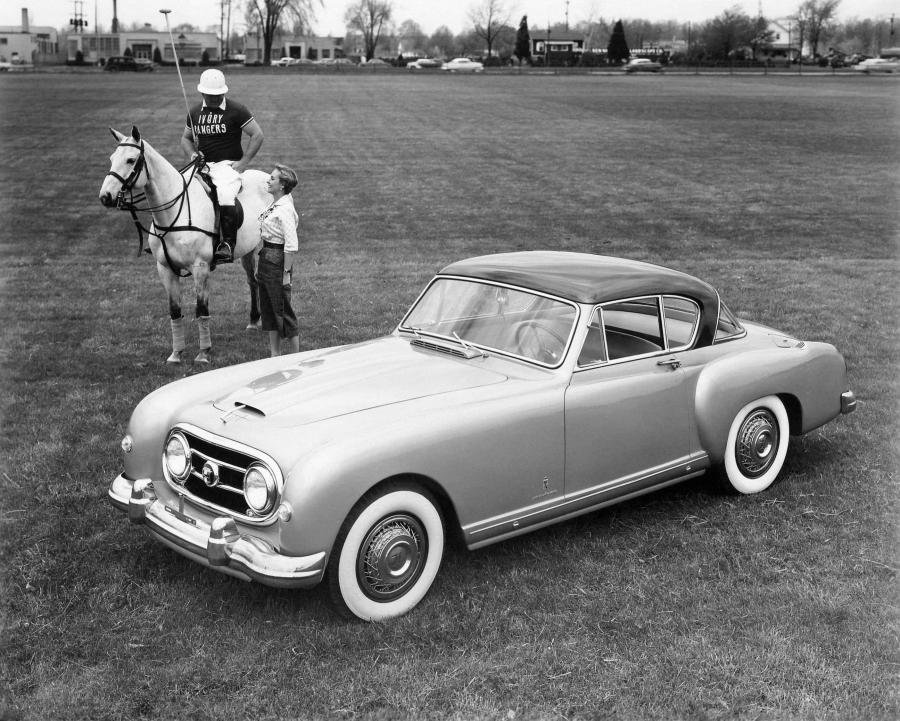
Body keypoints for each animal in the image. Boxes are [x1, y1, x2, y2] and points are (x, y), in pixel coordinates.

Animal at [99, 126, 268, 362]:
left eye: (130, 160)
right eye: (112, 158)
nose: (105, 196)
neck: (172, 215)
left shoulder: (200, 267)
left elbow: (201, 309)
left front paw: (203, 353)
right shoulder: (165, 268)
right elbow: (175, 311)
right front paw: (176, 354)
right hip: (248, 251)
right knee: (252, 281)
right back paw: (253, 321)